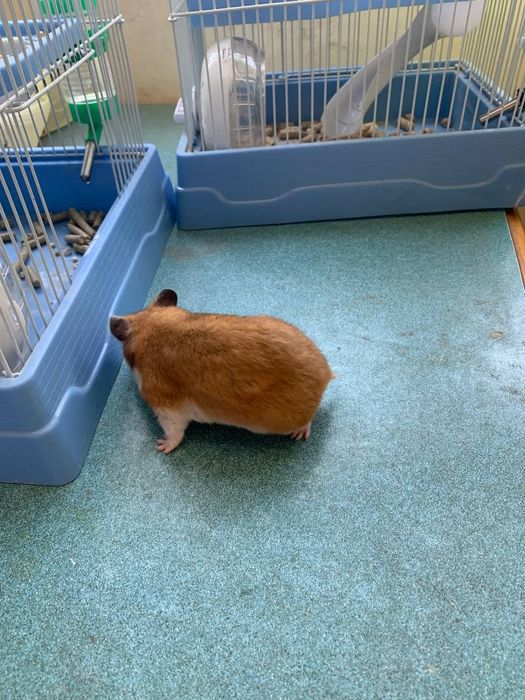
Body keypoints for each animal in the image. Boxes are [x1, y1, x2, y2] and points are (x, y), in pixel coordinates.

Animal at [109, 289, 334, 453]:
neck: (155, 330)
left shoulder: (166, 410)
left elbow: (175, 434)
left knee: (309, 421)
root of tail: (327, 373)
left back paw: (300, 434)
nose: (110, 321)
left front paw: (161, 447)